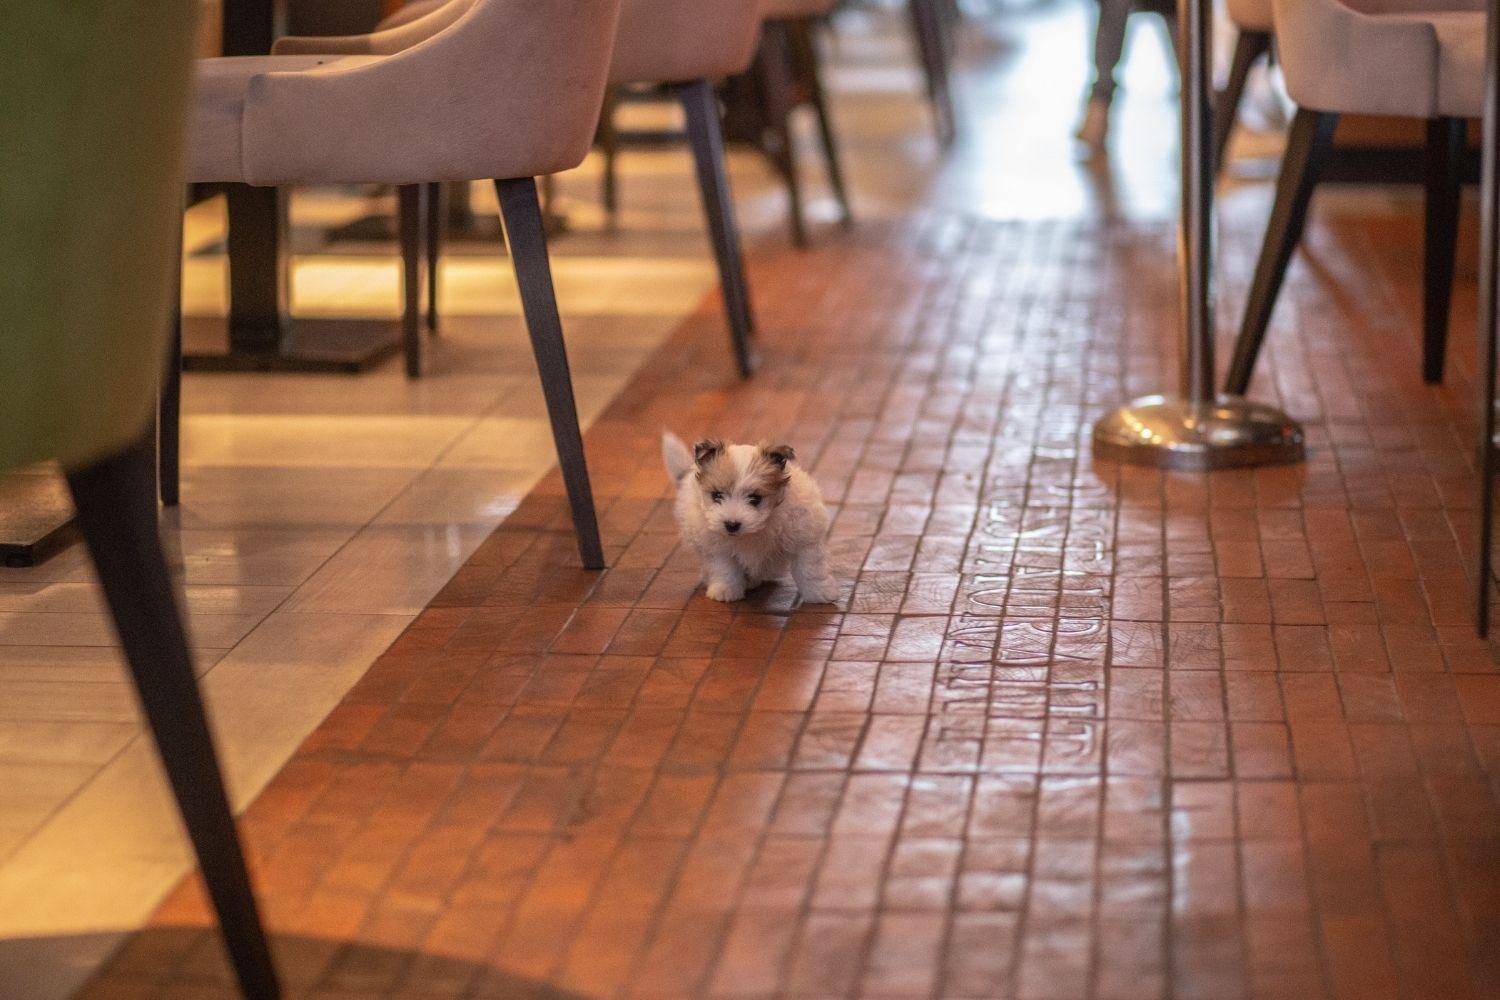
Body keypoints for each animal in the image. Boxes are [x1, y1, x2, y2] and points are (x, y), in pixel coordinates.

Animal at [663, 428, 840, 602]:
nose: (731, 524)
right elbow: (724, 568)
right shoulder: (717, 547)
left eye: (755, 498)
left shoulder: (804, 537)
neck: (753, 531)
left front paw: (819, 592)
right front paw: (726, 590)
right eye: (717, 496)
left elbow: (810, 568)